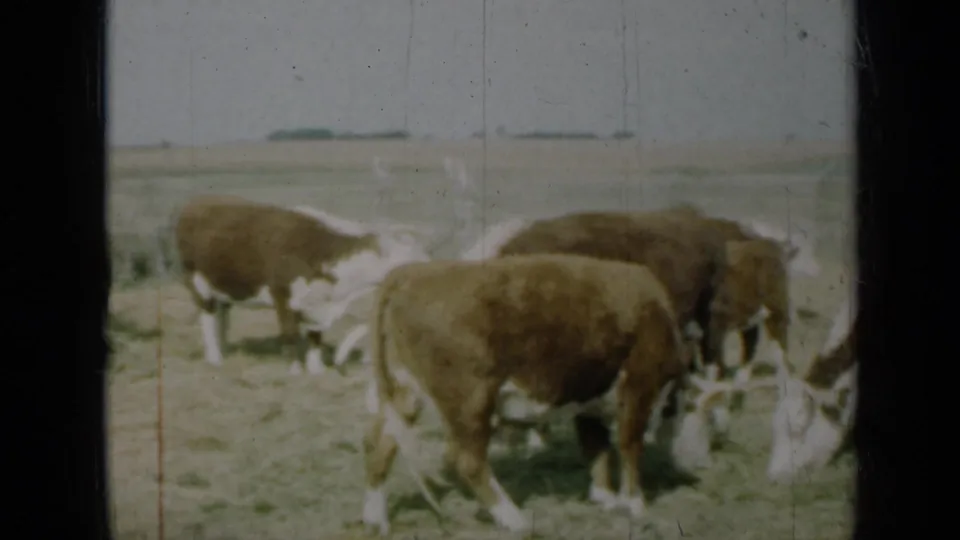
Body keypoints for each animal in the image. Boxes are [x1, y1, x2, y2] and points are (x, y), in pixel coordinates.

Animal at [173, 194, 432, 375]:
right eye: (411, 260)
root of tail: (199, 201)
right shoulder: (282, 296)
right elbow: (289, 333)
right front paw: (295, 369)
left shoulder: (319, 302)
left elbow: (316, 336)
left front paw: (316, 369)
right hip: (198, 284)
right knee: (207, 319)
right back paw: (214, 357)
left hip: (224, 287)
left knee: (222, 317)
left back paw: (224, 349)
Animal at [360, 254, 718, 535]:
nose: (701, 465)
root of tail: (412, 273)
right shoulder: (639, 386)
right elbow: (630, 445)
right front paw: (634, 504)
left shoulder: (588, 397)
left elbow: (597, 447)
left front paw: (604, 497)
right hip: (470, 397)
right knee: (468, 460)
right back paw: (514, 519)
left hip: (405, 393)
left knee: (381, 446)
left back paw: (375, 521)